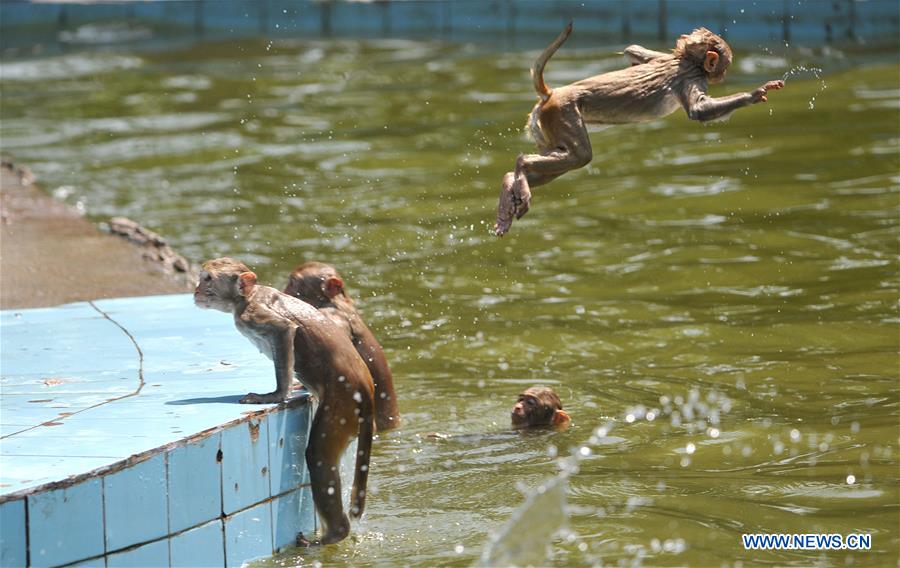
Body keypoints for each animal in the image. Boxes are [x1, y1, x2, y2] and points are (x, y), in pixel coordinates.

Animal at [193, 258, 376, 544]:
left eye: (208, 279)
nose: (196, 289)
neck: (245, 298)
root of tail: (367, 389)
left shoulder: (253, 314)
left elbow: (284, 330)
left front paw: (276, 395)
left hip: (344, 404)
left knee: (318, 454)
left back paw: (334, 534)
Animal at [496, 22, 784, 235]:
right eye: (724, 65)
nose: (723, 74)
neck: (687, 61)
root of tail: (551, 94)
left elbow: (632, 50)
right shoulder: (693, 76)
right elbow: (699, 111)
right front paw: (754, 94)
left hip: (544, 126)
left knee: (565, 158)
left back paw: (510, 185)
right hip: (563, 113)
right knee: (579, 156)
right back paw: (520, 168)